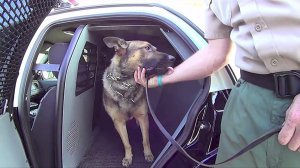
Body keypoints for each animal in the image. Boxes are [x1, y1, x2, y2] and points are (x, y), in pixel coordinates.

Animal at [102, 36, 175, 167]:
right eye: (147, 48)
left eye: (155, 48)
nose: (174, 58)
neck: (127, 84)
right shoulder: (118, 122)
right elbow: (126, 143)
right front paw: (128, 157)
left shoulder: (143, 118)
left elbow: (145, 140)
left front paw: (148, 154)